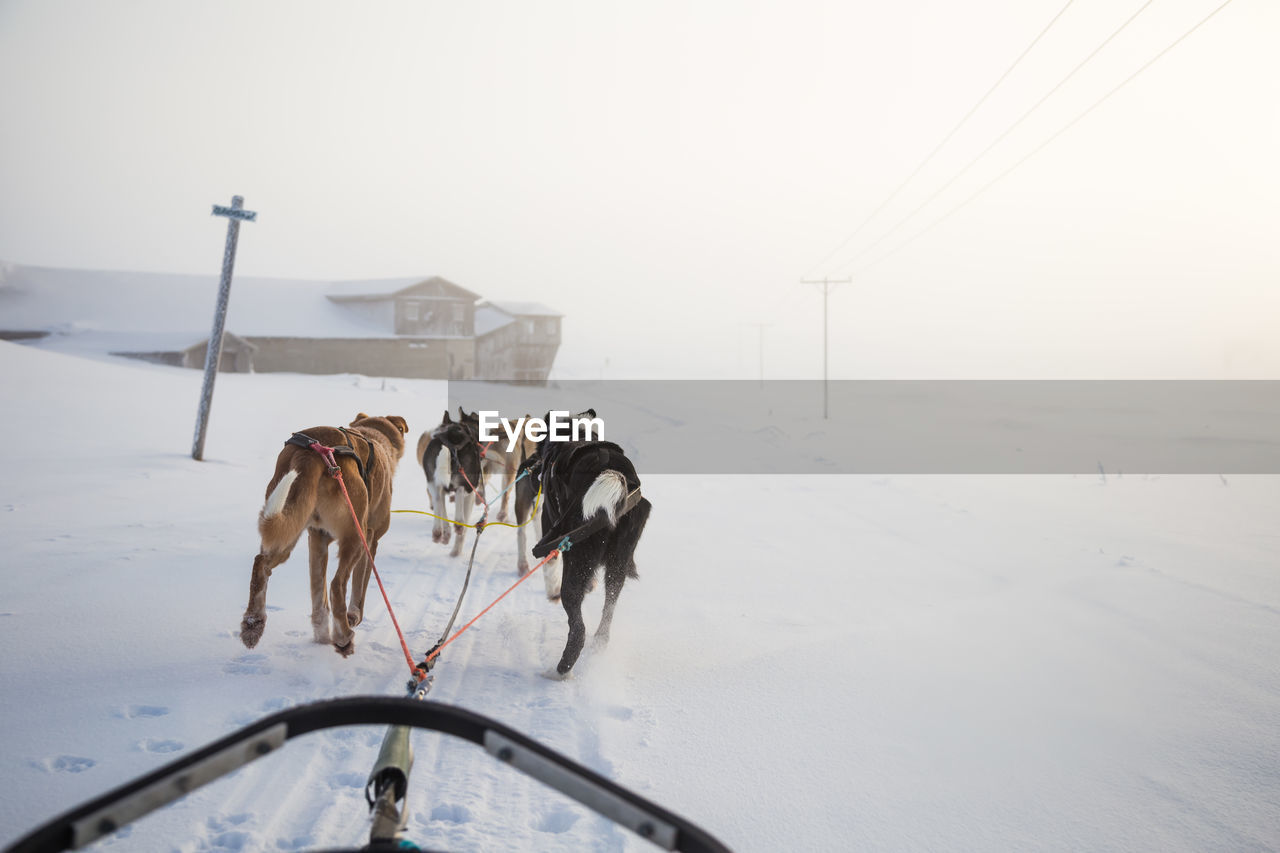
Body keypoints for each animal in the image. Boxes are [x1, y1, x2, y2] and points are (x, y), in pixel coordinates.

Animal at [236, 409, 404, 650]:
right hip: (356, 533)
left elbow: (319, 596)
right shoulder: (371, 539)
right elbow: (359, 588)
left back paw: (254, 624)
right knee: (336, 585)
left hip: (287, 526)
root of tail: (310, 455)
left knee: (262, 563)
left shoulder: (317, 538)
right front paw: (353, 617)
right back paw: (344, 637)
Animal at [527, 412, 655, 676]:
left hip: (577, 560)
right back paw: (598, 643)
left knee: (577, 628)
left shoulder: (549, 527)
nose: (531, 464)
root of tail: (611, 470)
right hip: (618, 563)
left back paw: (561, 668)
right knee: (608, 610)